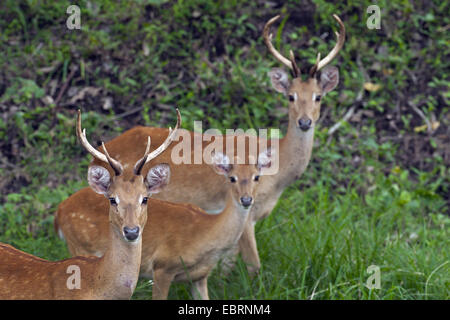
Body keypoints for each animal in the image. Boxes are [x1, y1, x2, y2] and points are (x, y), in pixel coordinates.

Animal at [55, 13, 344, 276]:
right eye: (290, 96)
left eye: (318, 97)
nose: (305, 121)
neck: (278, 173)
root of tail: (95, 157)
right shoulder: (245, 212)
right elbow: (253, 265)